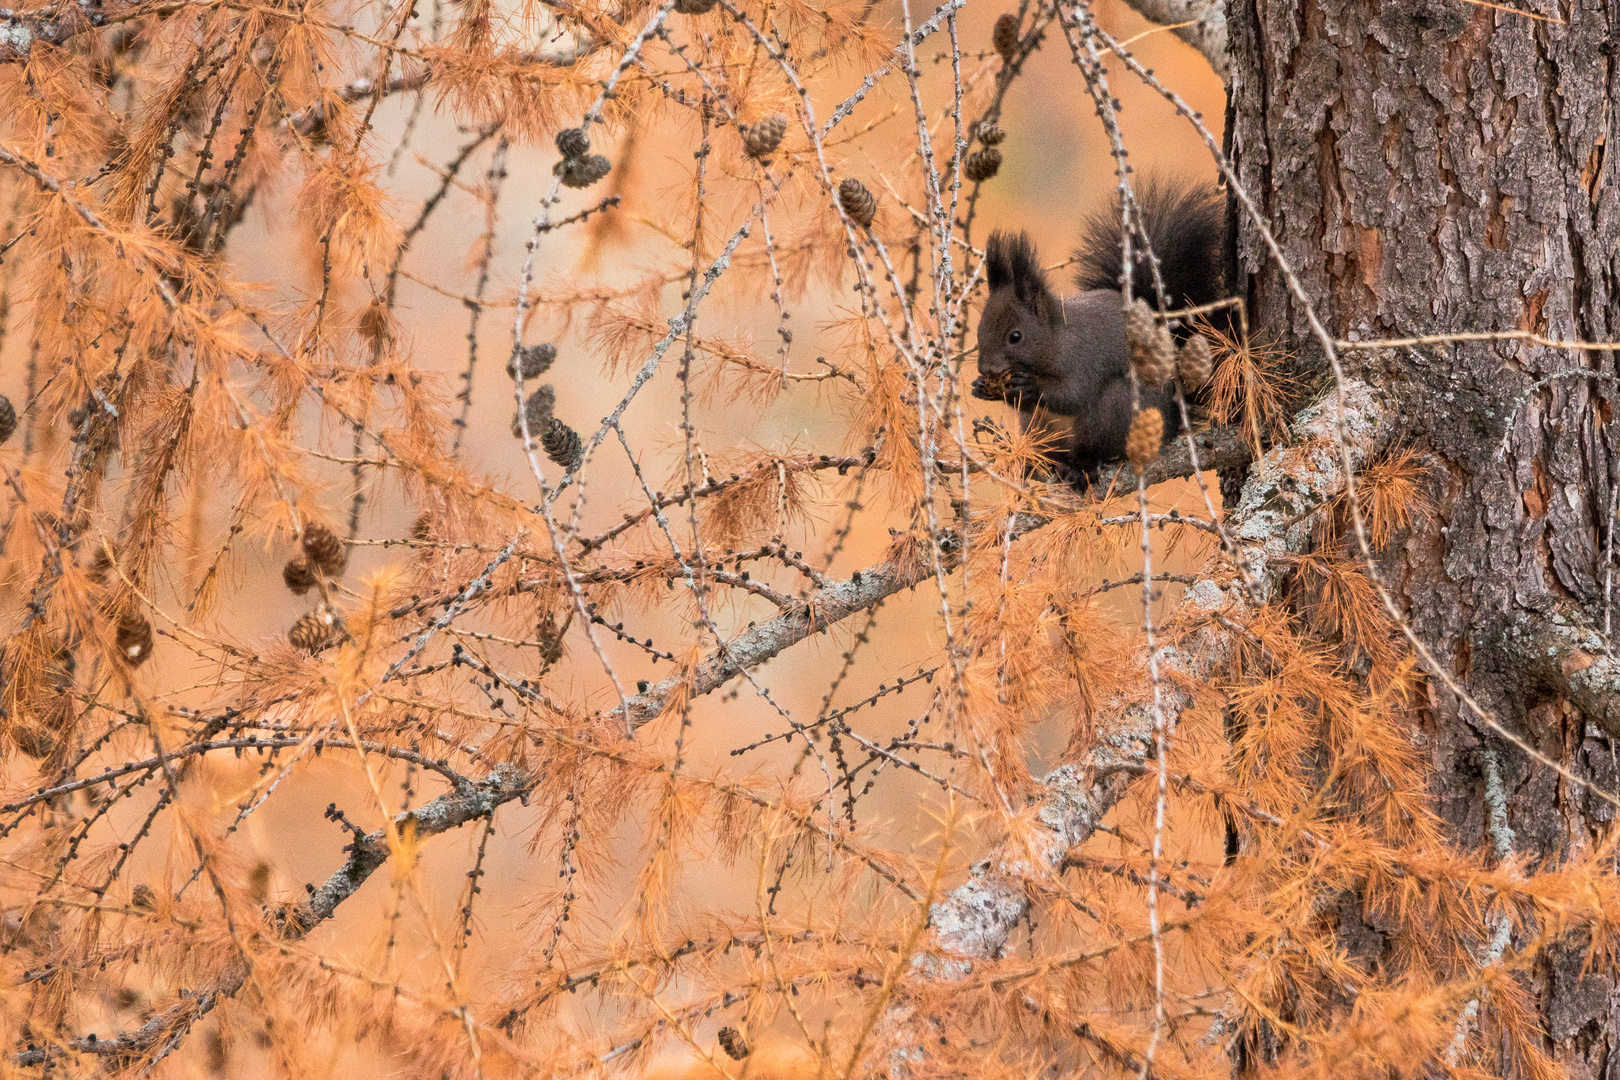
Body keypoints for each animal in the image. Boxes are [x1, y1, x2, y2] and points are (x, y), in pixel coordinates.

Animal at [965, 178, 1218, 488]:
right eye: (979, 330)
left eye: (1015, 336)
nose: (986, 368)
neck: (1056, 341)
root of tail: (1170, 424)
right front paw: (981, 387)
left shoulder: (1084, 359)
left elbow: (1073, 394)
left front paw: (1030, 387)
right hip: (1037, 427)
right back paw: (1033, 462)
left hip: (1112, 412)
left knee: (1096, 449)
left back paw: (1080, 467)